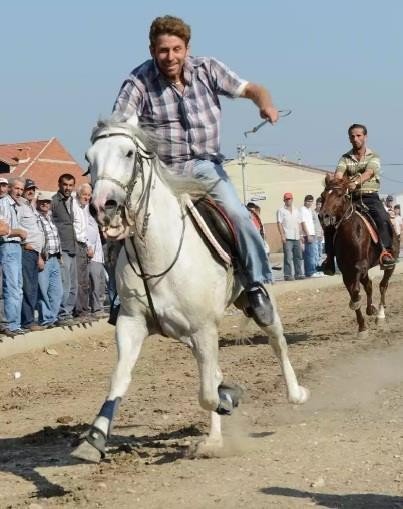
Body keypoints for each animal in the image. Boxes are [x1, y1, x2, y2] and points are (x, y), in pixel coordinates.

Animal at [71, 117, 310, 462]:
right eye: (90, 158)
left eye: (128, 153)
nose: (103, 206)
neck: (158, 252)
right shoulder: (132, 323)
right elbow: (120, 378)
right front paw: (93, 440)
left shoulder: (203, 328)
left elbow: (208, 394)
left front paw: (229, 397)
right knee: (213, 371)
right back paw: (214, 438)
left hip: (254, 304)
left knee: (277, 342)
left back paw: (295, 394)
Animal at [322, 175, 398, 338]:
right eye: (323, 196)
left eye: (339, 195)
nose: (322, 216)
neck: (349, 233)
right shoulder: (347, 271)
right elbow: (353, 293)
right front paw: (362, 327)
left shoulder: (359, 266)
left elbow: (356, 291)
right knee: (369, 285)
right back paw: (371, 309)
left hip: (390, 264)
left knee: (383, 285)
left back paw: (380, 316)